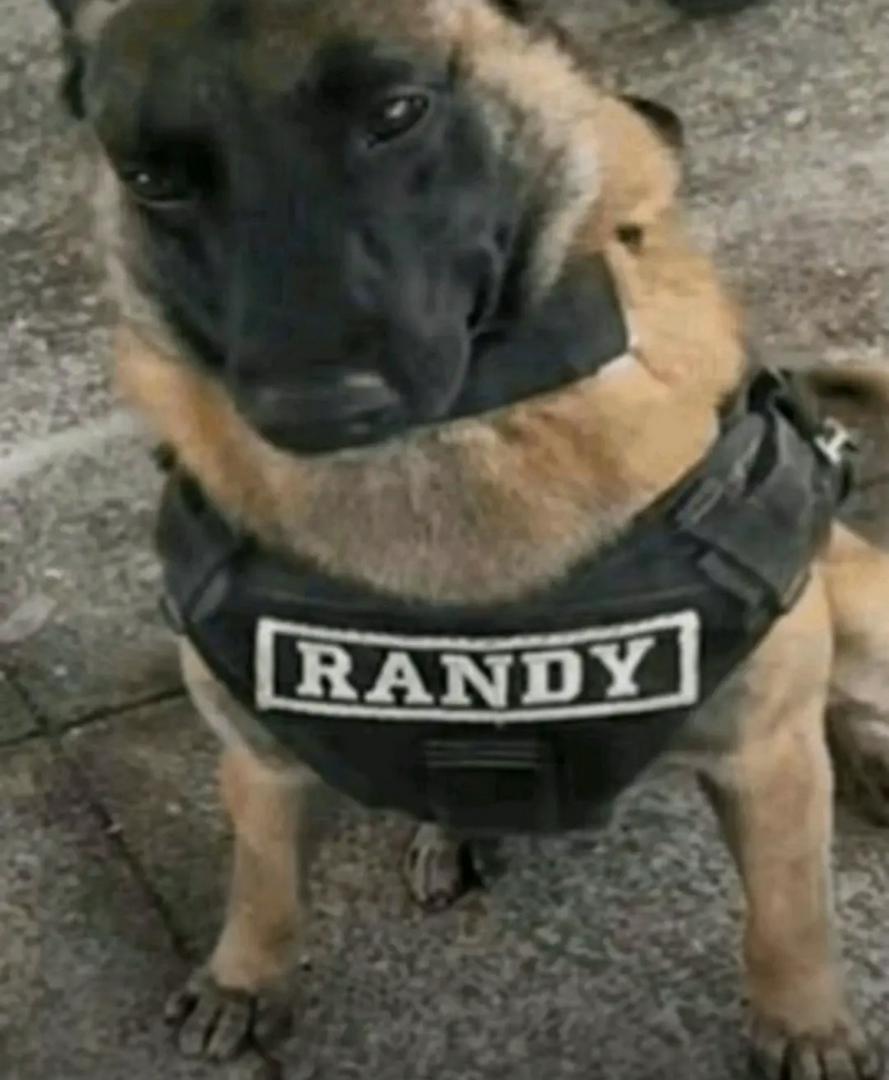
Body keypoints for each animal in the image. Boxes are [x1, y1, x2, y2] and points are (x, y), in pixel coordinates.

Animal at [45, 0, 889, 1076]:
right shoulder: (261, 758)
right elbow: (261, 879)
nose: (316, 407)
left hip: (855, 608)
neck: (455, 447)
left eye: (397, 112)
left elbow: (788, 916)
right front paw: (244, 975)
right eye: (153, 178)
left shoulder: (763, 749)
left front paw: (805, 1024)